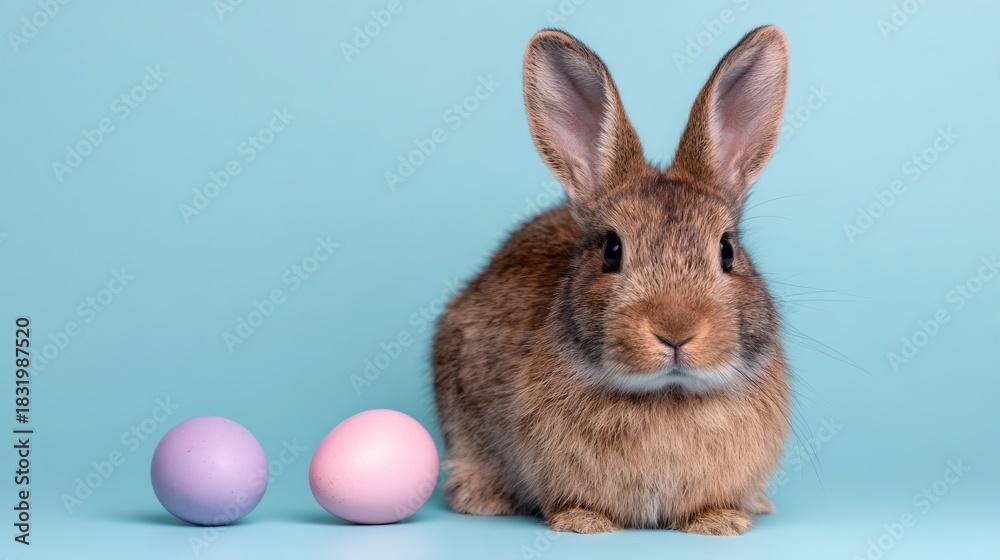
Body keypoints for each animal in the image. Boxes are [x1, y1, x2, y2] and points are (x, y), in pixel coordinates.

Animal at [432, 25, 791, 536]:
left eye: (727, 251)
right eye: (611, 251)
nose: (675, 330)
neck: (667, 394)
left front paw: (720, 521)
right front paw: (583, 522)